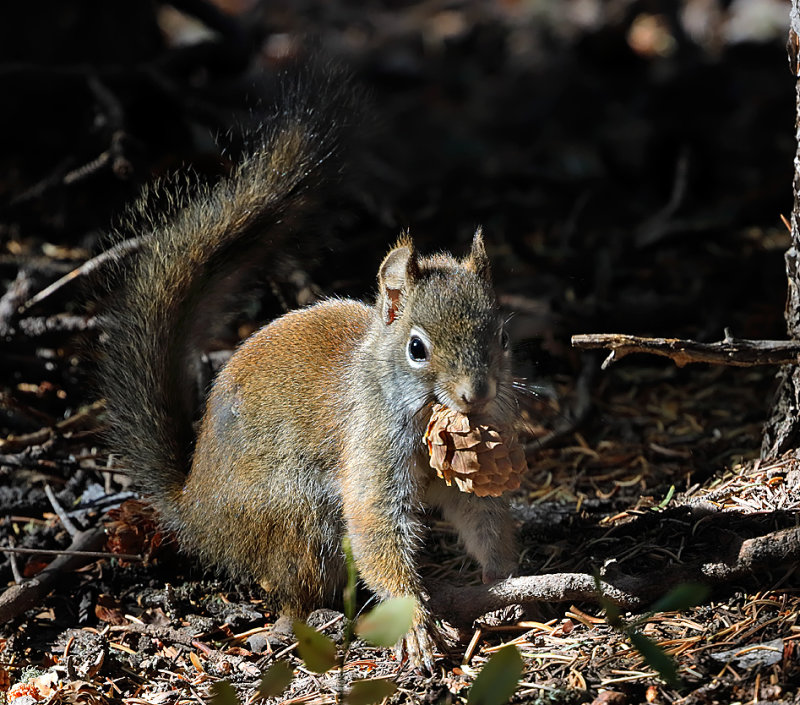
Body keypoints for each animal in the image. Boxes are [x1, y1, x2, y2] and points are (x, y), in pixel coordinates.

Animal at [97, 69, 520, 668]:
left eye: (502, 337)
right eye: (417, 348)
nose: (475, 394)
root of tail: (196, 514)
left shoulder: (458, 478)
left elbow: (479, 515)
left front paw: (505, 577)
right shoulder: (368, 448)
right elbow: (375, 524)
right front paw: (416, 622)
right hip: (298, 522)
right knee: (293, 592)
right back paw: (311, 622)